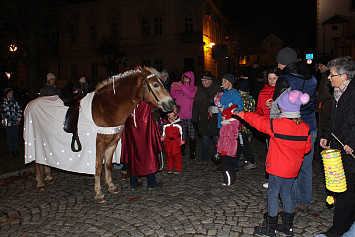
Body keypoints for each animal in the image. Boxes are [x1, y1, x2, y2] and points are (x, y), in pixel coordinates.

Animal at [24, 66, 175, 202]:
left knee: (43, 160)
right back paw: (40, 183)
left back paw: (48, 177)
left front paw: (111, 186)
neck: (106, 108)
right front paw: (99, 193)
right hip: (34, 139)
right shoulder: (98, 145)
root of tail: (30, 104)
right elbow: (97, 168)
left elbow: (107, 165)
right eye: (155, 85)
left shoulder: (113, 143)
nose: (171, 104)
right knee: (36, 162)